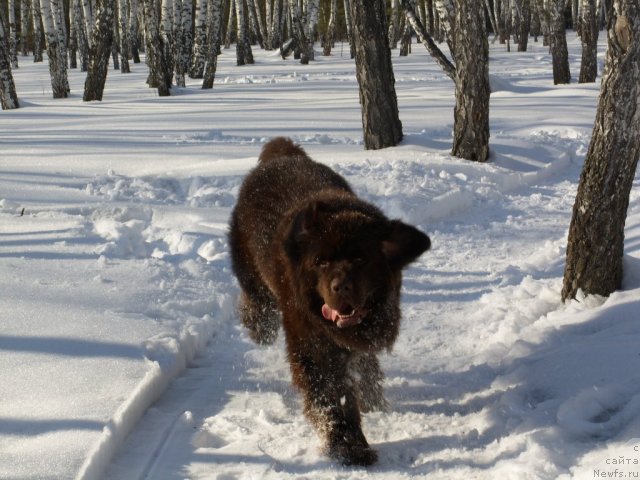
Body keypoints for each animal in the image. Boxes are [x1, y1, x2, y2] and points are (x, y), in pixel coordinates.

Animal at [228, 138, 428, 464]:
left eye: (361, 259)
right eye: (319, 261)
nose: (340, 286)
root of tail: (282, 154)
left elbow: (358, 365)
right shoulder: (312, 341)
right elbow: (332, 393)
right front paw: (349, 446)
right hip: (250, 269)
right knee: (255, 299)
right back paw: (259, 328)